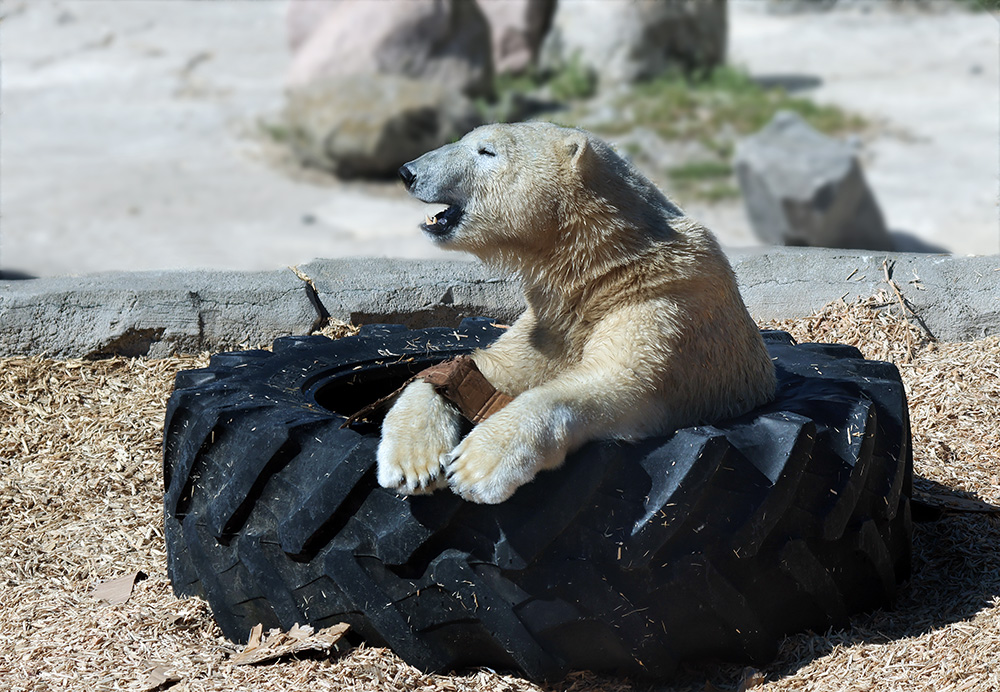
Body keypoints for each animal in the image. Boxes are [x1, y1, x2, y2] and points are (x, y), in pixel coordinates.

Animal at [376, 123, 772, 502]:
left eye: (486, 150)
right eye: (466, 138)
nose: (408, 171)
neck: (606, 259)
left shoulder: (665, 299)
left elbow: (622, 379)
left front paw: (477, 464)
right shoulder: (553, 319)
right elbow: (488, 369)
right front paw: (413, 462)